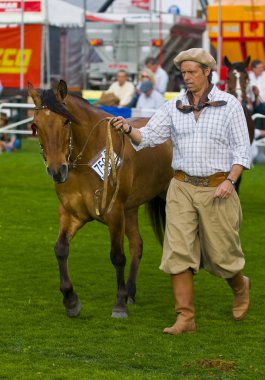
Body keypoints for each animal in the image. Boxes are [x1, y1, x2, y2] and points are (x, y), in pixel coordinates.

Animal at [27, 80, 172, 318]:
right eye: (36, 125)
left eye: (65, 121)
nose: (57, 171)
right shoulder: (71, 213)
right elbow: (60, 249)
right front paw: (70, 300)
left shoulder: (114, 213)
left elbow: (117, 256)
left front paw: (119, 304)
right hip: (130, 209)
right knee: (137, 244)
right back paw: (131, 291)